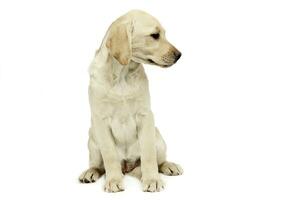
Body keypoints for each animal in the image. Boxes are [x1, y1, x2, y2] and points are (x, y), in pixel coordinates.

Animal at [79, 9, 183, 192]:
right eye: (155, 35)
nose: (179, 55)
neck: (122, 74)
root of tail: (127, 167)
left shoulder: (145, 115)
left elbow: (148, 154)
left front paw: (152, 179)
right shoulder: (100, 120)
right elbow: (110, 155)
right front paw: (113, 180)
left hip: (158, 137)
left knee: (159, 160)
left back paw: (169, 166)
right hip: (92, 139)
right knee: (99, 165)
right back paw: (90, 172)